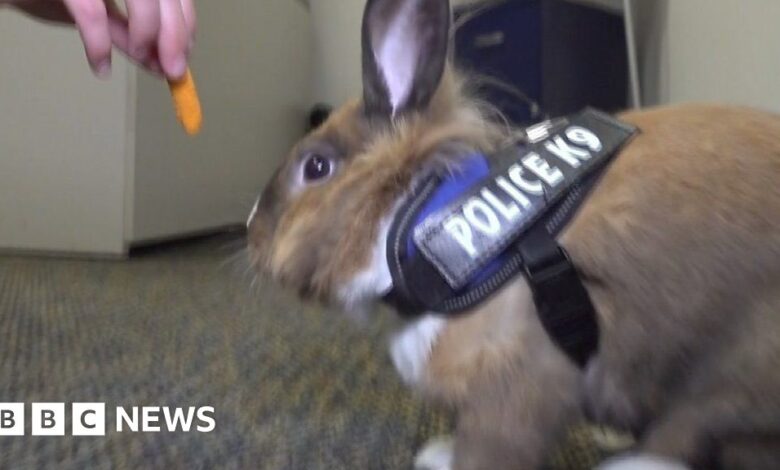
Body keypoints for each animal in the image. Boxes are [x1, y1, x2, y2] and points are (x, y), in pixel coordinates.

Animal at [247, 1, 780, 468]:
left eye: (316, 167)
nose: (251, 231)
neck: (413, 219)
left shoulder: (513, 390)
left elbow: (489, 451)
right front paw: (438, 453)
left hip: (730, 372)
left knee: (685, 434)